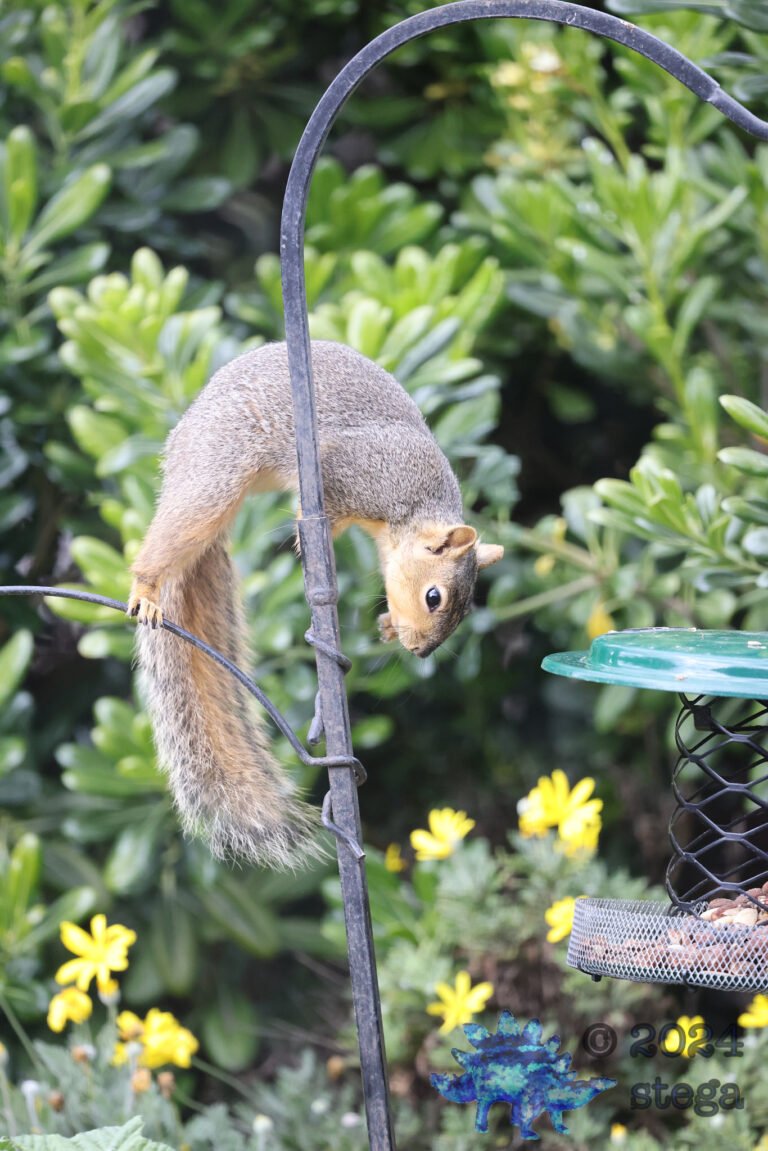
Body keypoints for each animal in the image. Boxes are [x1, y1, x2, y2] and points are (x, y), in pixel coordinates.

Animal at [127, 340, 504, 869]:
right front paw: (306, 532)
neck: (412, 511)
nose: (419, 651)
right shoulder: (354, 471)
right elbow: (323, 497)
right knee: (184, 523)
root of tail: (182, 444)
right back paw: (145, 588)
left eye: (465, 612)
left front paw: (387, 624)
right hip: (220, 465)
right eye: (435, 597)